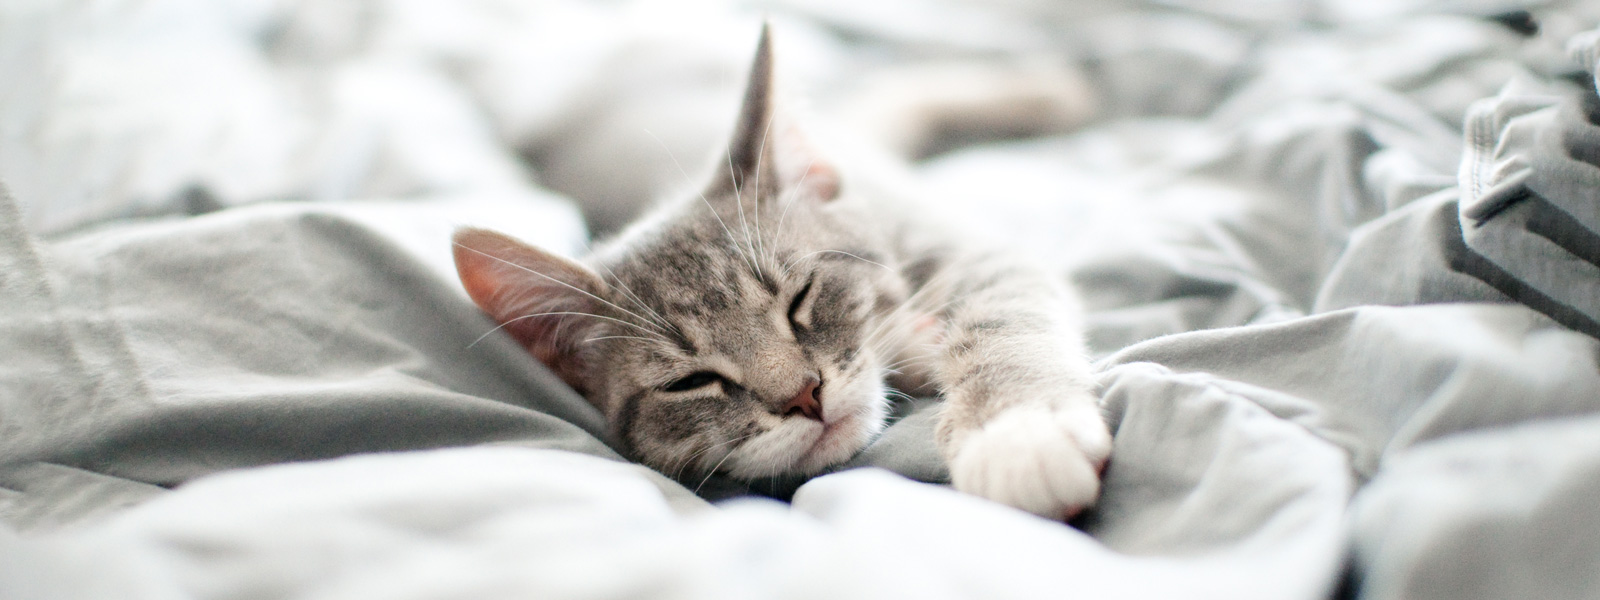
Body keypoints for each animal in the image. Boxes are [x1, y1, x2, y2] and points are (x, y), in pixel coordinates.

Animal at [454, 24, 1113, 521]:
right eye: (690, 382)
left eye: (800, 299)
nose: (803, 396)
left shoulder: (970, 250)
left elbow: (1001, 323)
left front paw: (1018, 433)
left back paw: (1045, 93)